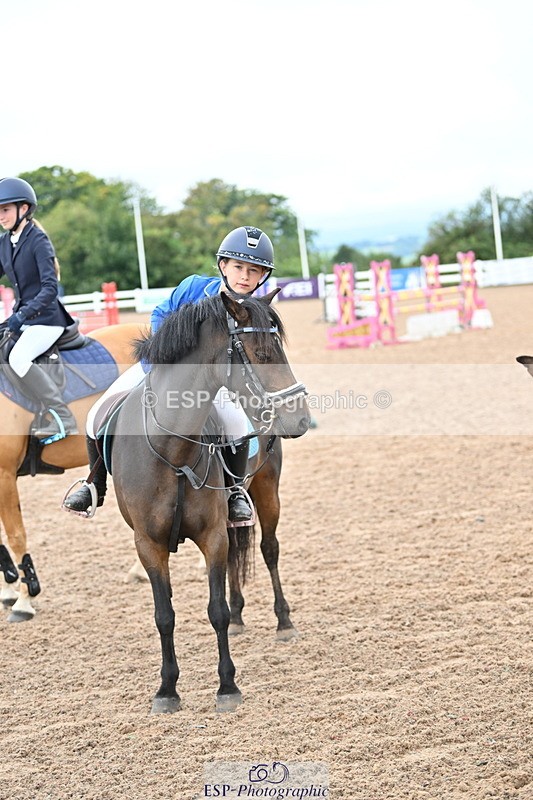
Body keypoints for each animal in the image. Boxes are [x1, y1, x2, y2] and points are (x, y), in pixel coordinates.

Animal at [109, 289, 310, 713]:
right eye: (261, 353)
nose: (300, 419)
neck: (172, 452)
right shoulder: (147, 545)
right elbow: (164, 615)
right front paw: (167, 690)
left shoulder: (212, 535)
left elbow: (215, 609)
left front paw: (227, 686)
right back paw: (240, 619)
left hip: (267, 491)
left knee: (269, 550)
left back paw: (283, 621)